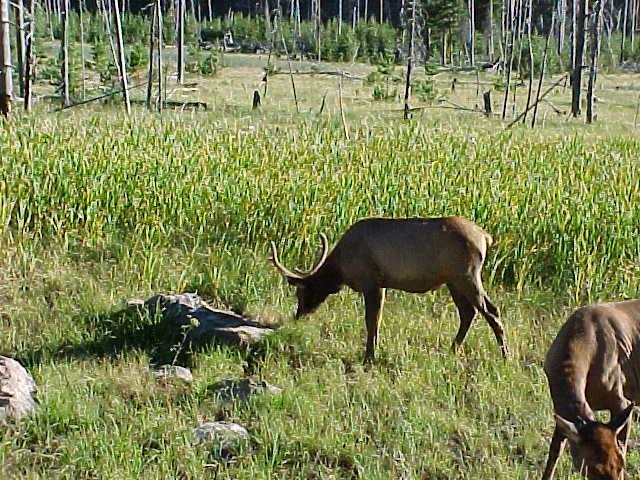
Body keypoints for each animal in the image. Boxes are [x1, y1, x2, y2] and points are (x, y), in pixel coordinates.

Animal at [270, 216, 507, 362]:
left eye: (301, 293)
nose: (297, 316)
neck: (341, 269)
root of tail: (486, 237)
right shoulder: (382, 285)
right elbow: (378, 318)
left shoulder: (370, 281)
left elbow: (371, 320)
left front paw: (369, 356)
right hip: (454, 281)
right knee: (468, 312)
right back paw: (452, 350)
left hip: (466, 275)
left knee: (491, 310)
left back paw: (506, 356)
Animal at [542, 300, 640, 480]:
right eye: (593, 469)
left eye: (621, 465)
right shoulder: (561, 410)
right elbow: (554, 452)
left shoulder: (622, 400)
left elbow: (622, 445)